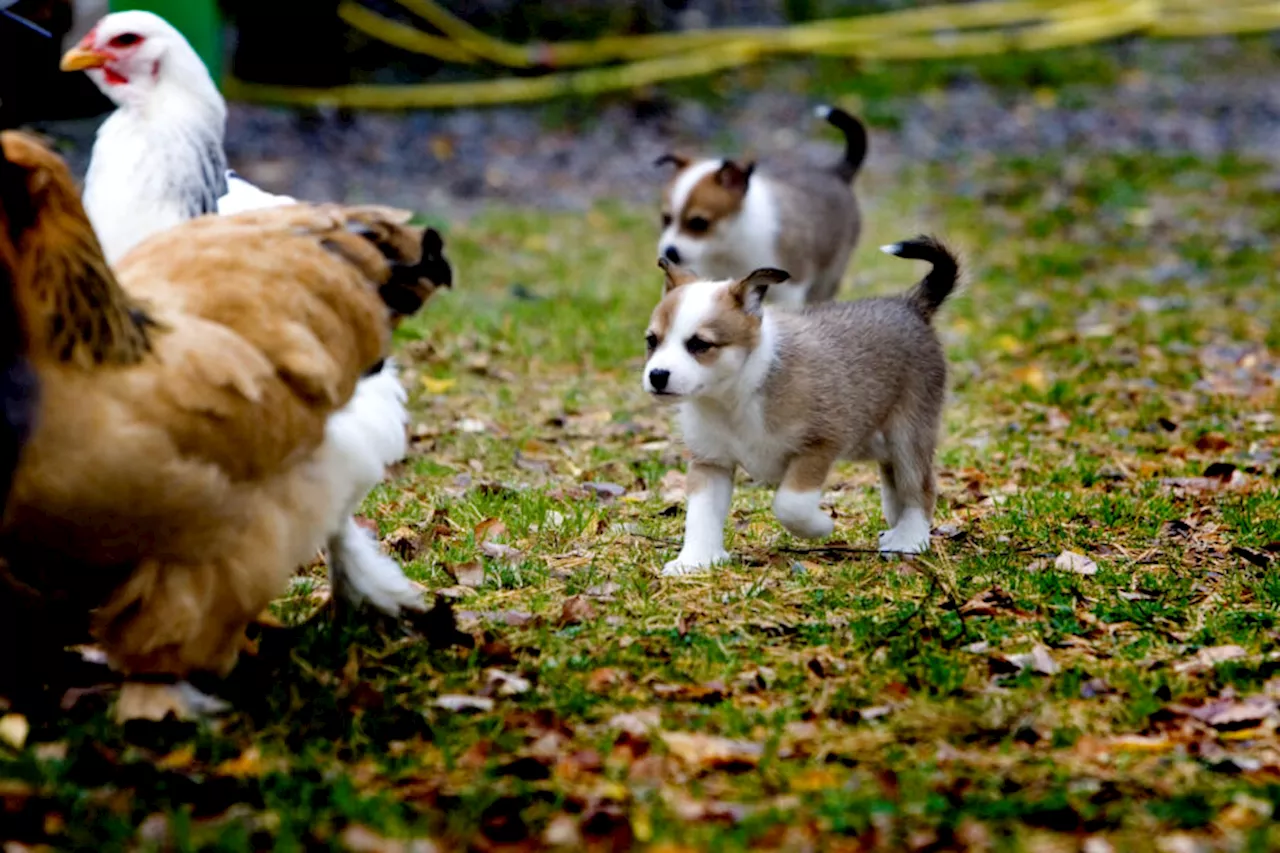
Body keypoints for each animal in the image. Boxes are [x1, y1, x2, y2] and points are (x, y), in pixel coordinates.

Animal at [640, 235, 962, 573]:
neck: (735, 397)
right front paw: (694, 561)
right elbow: (701, 515)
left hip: (908, 436)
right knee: (894, 488)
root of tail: (910, 305)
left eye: (699, 344)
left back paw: (909, 540)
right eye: (652, 340)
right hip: (880, 444)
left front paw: (820, 527)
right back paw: (898, 532)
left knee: (920, 488)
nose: (657, 376)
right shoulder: (711, 462)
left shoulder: (819, 445)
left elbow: (789, 505)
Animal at [655, 104, 865, 307]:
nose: (669, 252)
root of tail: (836, 172)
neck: (728, 247)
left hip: (828, 275)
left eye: (699, 223)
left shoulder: (790, 291)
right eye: (666, 219)